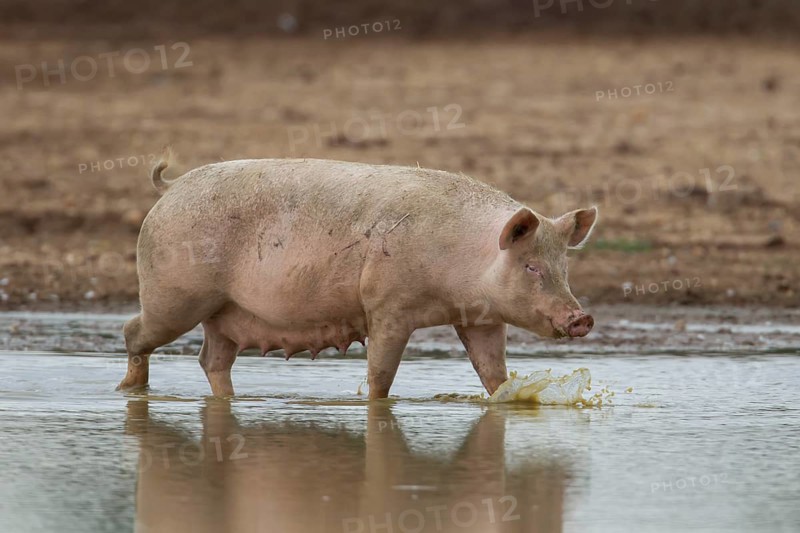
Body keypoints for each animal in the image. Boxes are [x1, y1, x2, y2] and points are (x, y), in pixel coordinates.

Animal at [117, 157, 597, 399]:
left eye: (563, 267)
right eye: (531, 266)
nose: (581, 318)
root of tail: (171, 187)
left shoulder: (482, 320)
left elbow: (493, 373)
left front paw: (503, 398)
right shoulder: (387, 306)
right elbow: (381, 375)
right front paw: (374, 404)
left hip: (223, 312)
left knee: (211, 360)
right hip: (174, 296)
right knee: (133, 332)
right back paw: (129, 390)